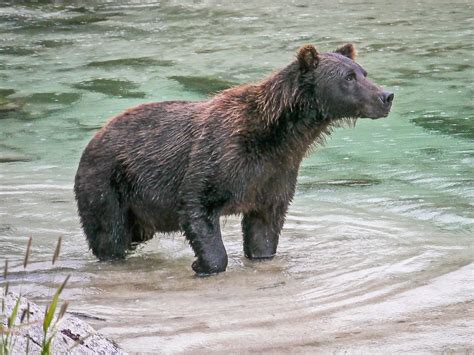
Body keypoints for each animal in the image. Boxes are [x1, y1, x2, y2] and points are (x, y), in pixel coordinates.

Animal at [74, 43, 392, 276]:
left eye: (363, 72)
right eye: (348, 78)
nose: (386, 96)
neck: (280, 138)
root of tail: (95, 136)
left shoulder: (275, 175)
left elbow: (265, 226)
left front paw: (260, 253)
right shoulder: (218, 157)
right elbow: (197, 206)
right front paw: (203, 264)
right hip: (108, 184)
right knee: (110, 235)